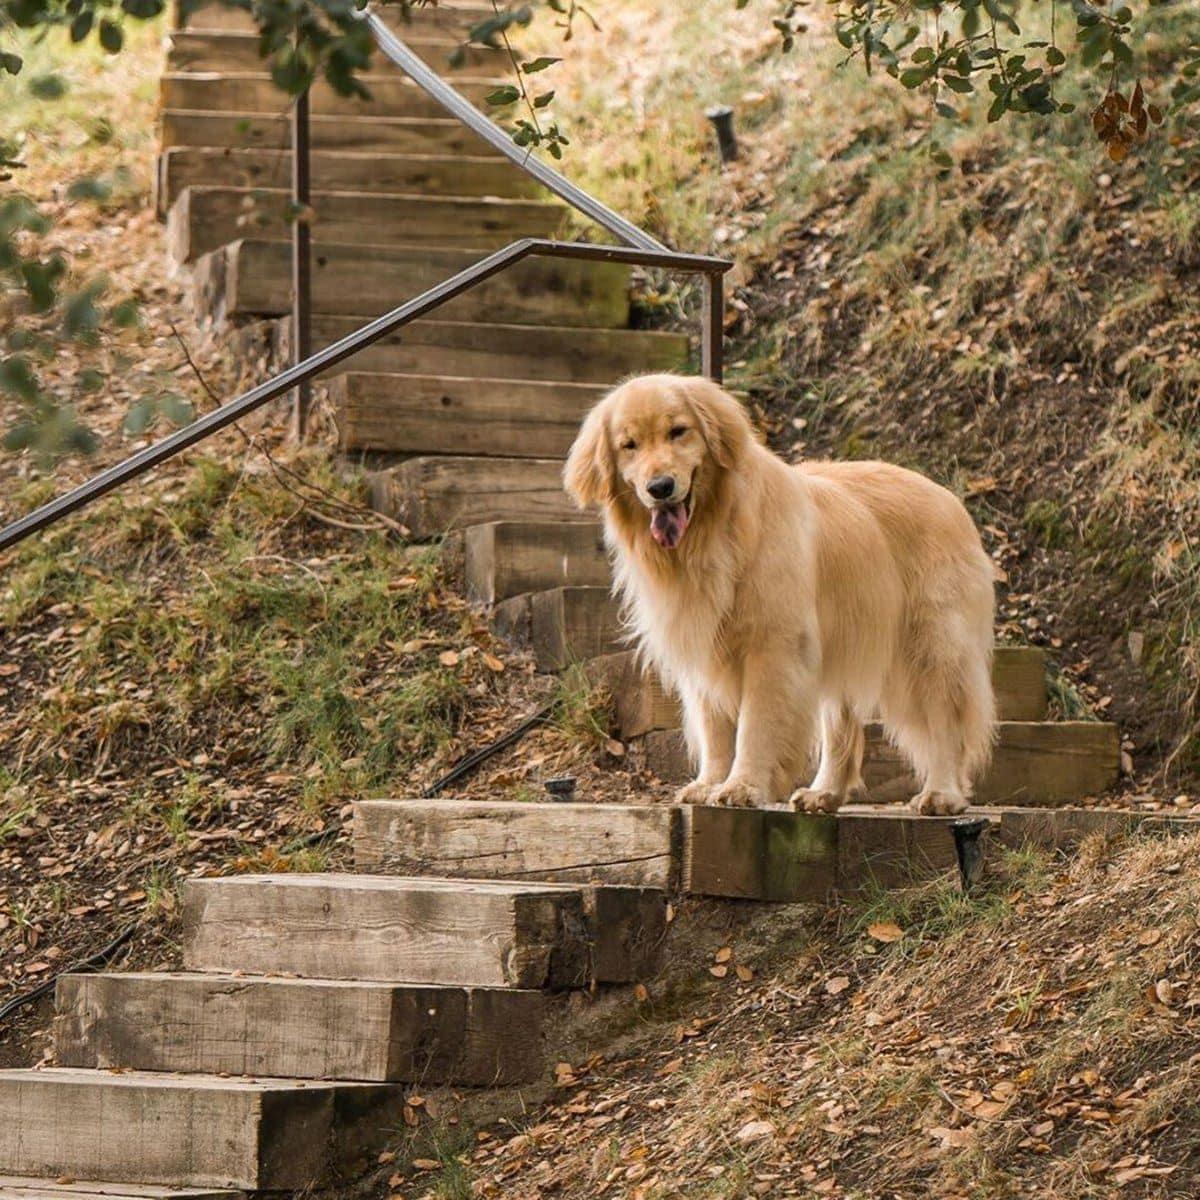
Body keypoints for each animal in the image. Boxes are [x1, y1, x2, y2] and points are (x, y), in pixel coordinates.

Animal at [566, 372, 998, 816]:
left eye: (678, 431)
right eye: (629, 445)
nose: (660, 487)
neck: (713, 532)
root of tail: (950, 498)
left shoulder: (773, 645)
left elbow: (755, 725)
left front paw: (743, 785)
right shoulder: (703, 644)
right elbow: (714, 726)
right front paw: (709, 782)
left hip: (929, 648)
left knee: (945, 723)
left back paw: (942, 793)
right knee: (841, 725)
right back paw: (824, 793)